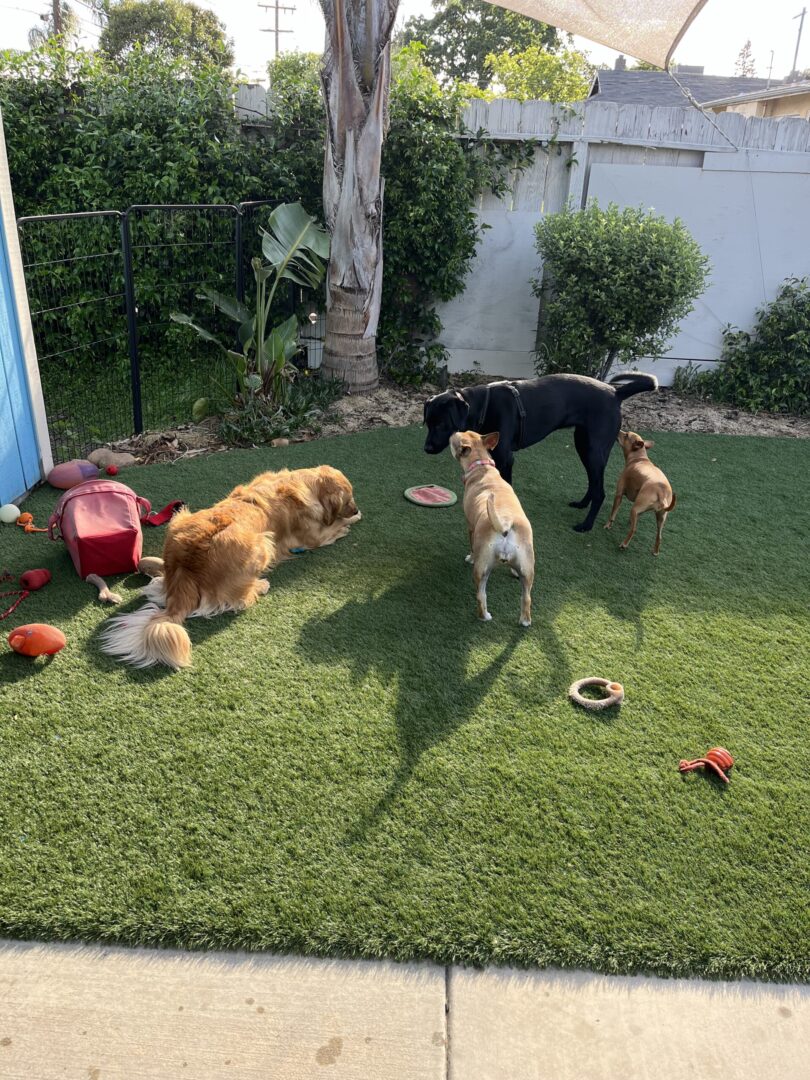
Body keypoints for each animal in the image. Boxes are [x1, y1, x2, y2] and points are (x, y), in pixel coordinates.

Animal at [425, 373, 660, 533]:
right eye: (427, 423)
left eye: (442, 425)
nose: (426, 449)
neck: (483, 405)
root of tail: (615, 393)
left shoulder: (505, 458)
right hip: (584, 445)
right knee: (594, 484)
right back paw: (582, 504)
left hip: (593, 449)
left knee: (600, 491)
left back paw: (586, 525)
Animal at [447, 429, 535, 626]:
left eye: (457, 437)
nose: (454, 431)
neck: (482, 466)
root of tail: (504, 523)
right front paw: (513, 571)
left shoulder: (470, 527)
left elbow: (470, 546)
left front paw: (469, 557)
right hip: (528, 565)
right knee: (526, 597)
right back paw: (525, 621)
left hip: (481, 569)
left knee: (481, 595)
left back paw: (484, 616)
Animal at [609, 427, 678, 557]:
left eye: (626, 435)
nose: (618, 429)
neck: (639, 458)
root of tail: (661, 491)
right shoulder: (639, 510)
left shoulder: (619, 494)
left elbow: (612, 515)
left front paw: (607, 526)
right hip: (660, 518)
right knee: (659, 536)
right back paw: (655, 552)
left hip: (635, 509)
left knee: (633, 530)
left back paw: (624, 544)